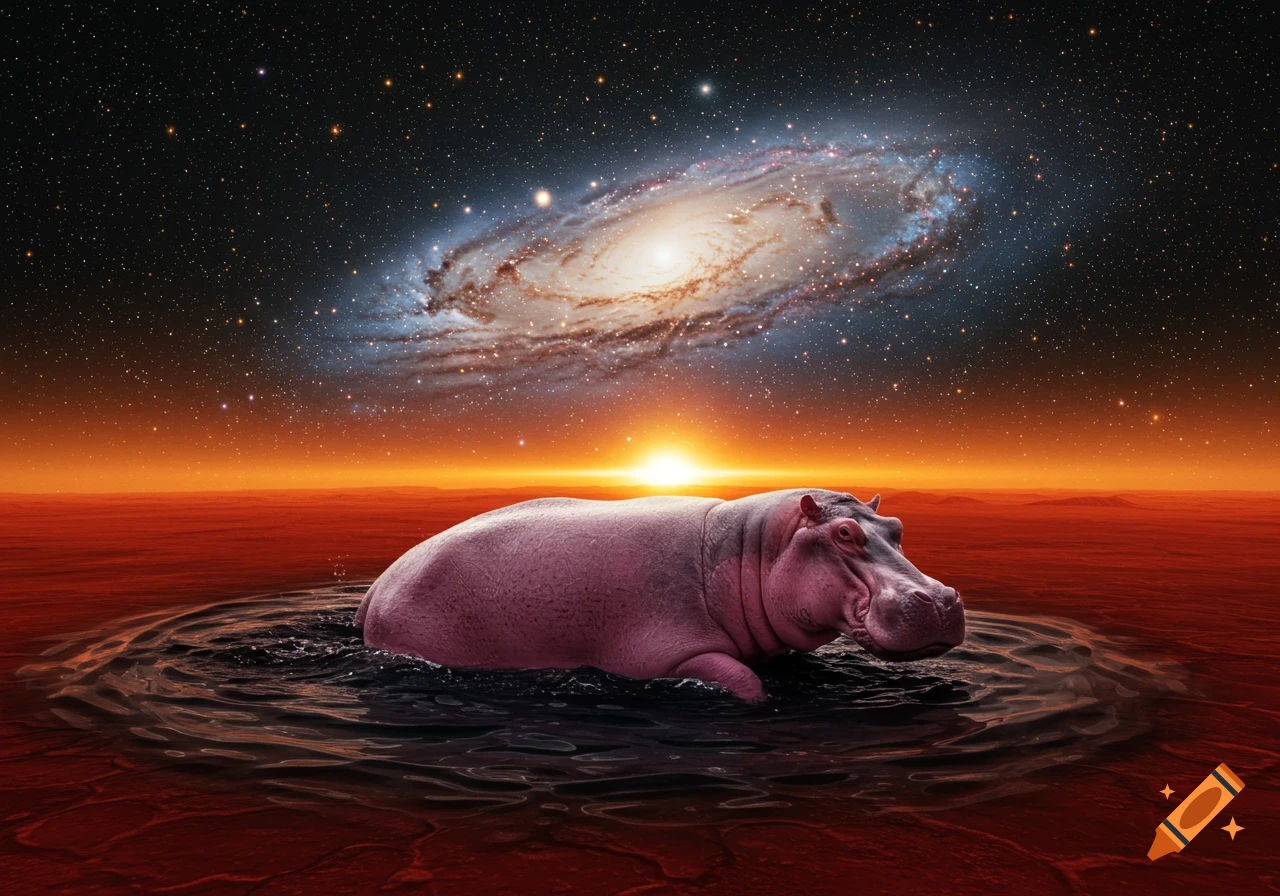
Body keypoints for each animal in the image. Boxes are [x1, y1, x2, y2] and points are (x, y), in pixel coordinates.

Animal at [355, 488, 964, 701]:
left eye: (898, 527)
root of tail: (380, 581)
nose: (939, 600)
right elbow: (745, 683)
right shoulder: (668, 651)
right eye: (843, 533)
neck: (751, 548)